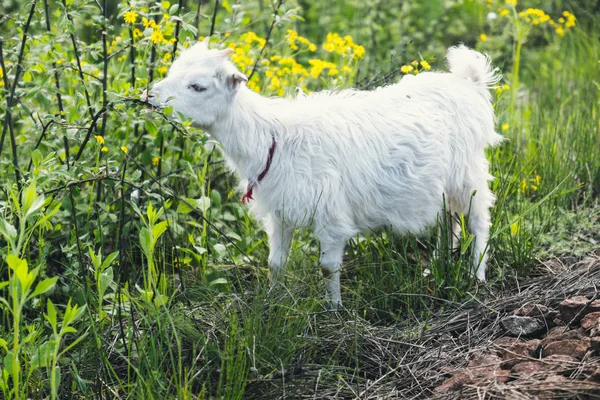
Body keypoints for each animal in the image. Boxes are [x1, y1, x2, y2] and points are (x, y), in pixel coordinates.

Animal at [146, 39, 502, 308]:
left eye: (198, 86)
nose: (149, 95)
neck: (272, 137)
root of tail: (468, 83)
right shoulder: (281, 212)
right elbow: (276, 264)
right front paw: (271, 303)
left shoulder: (331, 214)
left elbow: (328, 267)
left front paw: (334, 310)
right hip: (440, 186)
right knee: (448, 222)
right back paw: (440, 265)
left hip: (467, 173)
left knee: (478, 222)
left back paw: (476, 278)